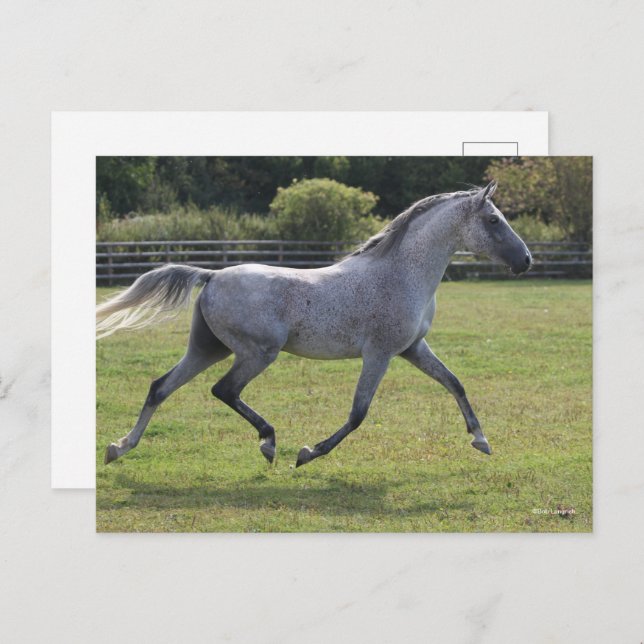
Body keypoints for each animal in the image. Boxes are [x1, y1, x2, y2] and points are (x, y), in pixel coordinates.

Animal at [97, 181, 531, 468]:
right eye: (494, 220)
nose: (526, 260)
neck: (401, 274)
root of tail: (212, 275)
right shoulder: (380, 354)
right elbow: (358, 414)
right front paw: (308, 453)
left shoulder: (413, 348)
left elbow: (455, 383)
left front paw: (481, 440)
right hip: (257, 353)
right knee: (223, 390)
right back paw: (269, 443)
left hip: (208, 348)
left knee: (160, 387)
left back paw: (119, 447)